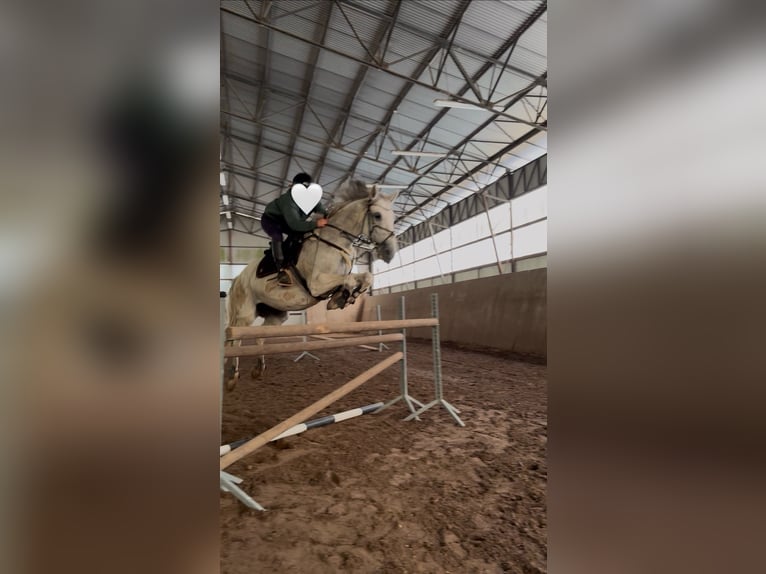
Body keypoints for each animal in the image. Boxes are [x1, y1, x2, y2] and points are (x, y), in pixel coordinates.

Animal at [224, 179, 399, 389]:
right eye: (377, 215)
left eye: (394, 217)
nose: (389, 253)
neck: (335, 240)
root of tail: (236, 279)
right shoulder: (317, 283)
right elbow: (348, 280)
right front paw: (340, 298)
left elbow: (366, 276)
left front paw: (348, 296)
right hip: (245, 313)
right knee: (236, 340)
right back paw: (232, 378)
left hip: (276, 315)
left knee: (260, 335)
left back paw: (258, 370)